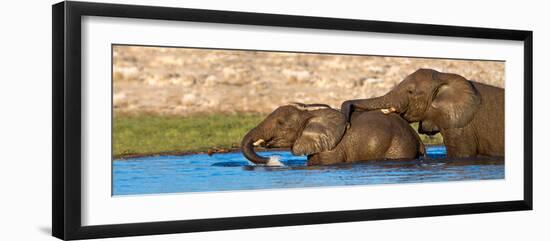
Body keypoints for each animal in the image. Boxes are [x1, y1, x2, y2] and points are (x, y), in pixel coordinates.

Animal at [242, 102, 426, 165]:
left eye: (280, 123)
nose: (273, 160)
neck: (308, 115)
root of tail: (418, 139)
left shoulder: (332, 150)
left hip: (399, 146)